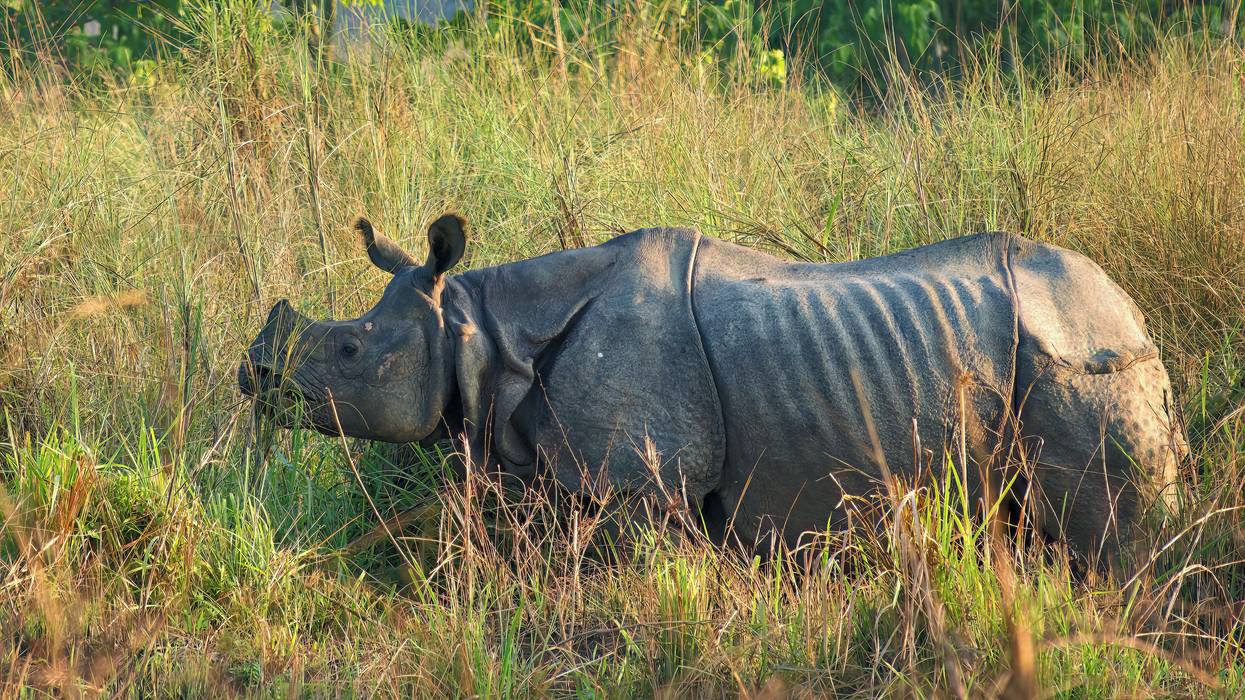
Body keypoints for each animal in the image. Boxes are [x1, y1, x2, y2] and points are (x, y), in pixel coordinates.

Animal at [240, 214, 1183, 570]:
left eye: (350, 349)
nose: (253, 375)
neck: (479, 327)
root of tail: (1131, 307)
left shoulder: (642, 483)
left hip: (1082, 362)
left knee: (1109, 538)